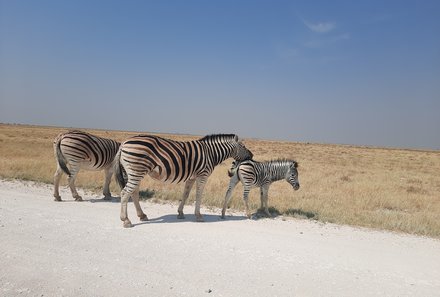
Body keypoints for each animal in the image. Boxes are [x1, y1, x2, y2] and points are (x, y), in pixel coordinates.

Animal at [113, 133, 253, 228]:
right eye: (243, 146)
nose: (252, 156)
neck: (211, 153)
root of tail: (124, 143)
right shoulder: (202, 175)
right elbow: (198, 195)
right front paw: (198, 216)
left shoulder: (191, 177)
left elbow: (185, 194)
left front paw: (180, 213)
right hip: (136, 170)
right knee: (125, 193)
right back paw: (126, 220)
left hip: (134, 172)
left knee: (134, 192)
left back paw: (142, 215)